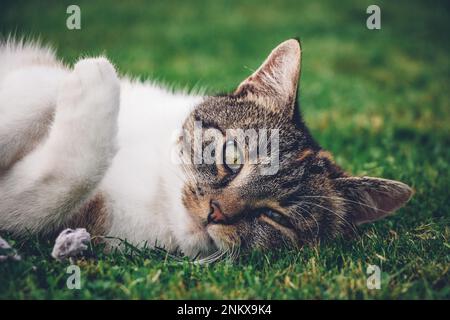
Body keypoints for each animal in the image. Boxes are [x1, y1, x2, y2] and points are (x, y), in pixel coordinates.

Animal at [0, 37, 412, 258]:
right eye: (233, 156)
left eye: (275, 217)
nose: (215, 212)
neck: (155, 188)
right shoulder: (36, 72)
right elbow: (38, 86)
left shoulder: (50, 213)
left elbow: (56, 186)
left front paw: (93, 77)